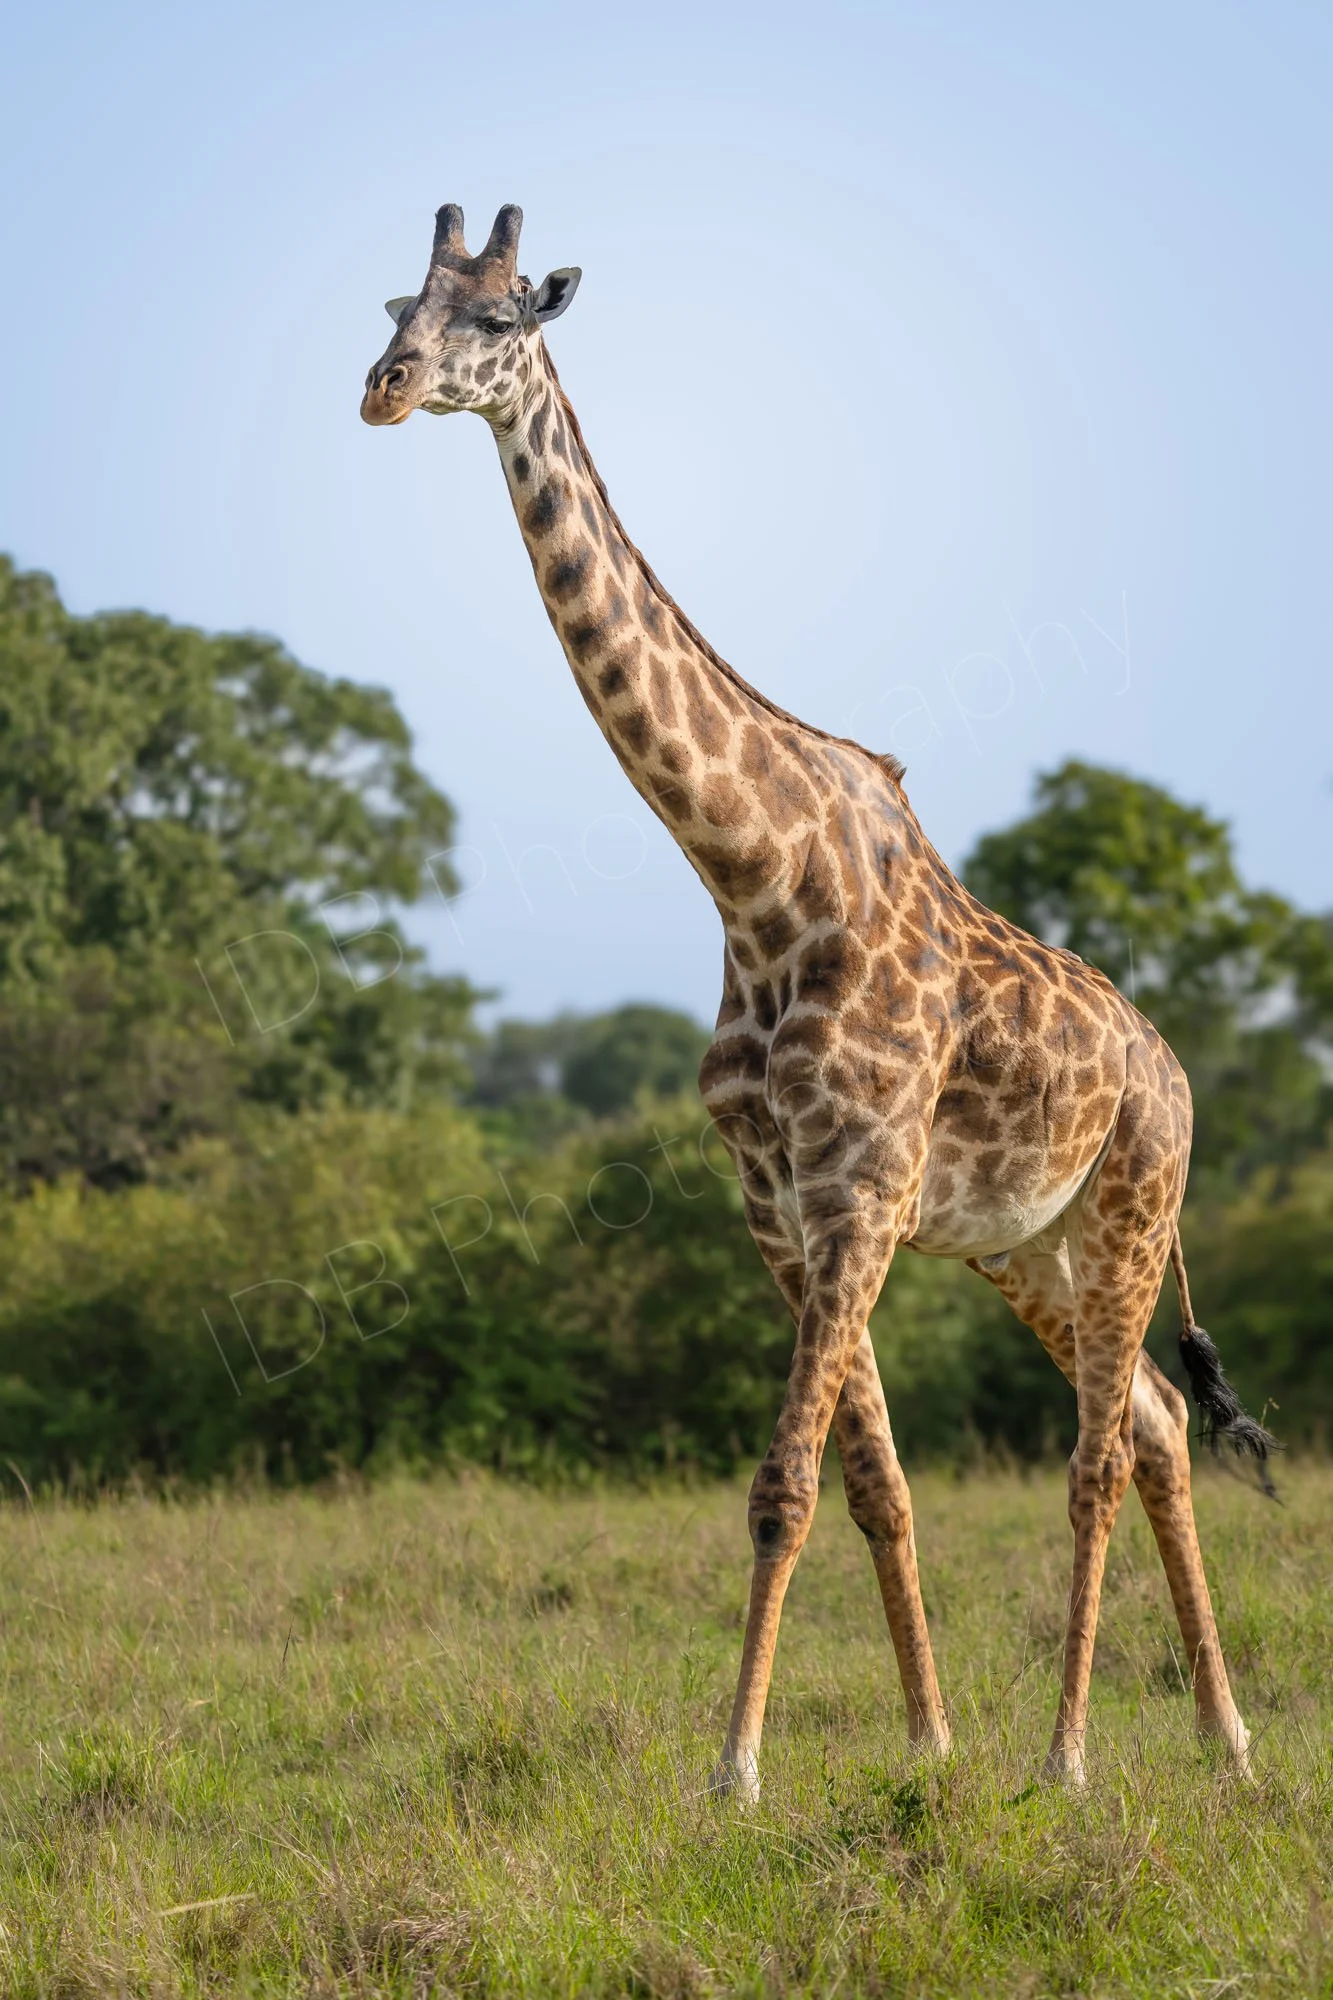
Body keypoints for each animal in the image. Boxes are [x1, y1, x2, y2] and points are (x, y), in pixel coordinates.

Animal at [361, 203, 1276, 1794]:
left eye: (498, 316)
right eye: (397, 305)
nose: (384, 385)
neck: (753, 876)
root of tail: (1168, 1068)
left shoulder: (855, 1192)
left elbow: (784, 1482)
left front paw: (735, 1769)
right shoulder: (779, 1207)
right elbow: (869, 1481)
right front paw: (925, 1738)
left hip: (1130, 1208)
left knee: (1100, 1450)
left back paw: (1072, 1757)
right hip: (1019, 1246)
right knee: (1161, 1424)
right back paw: (1220, 1739)